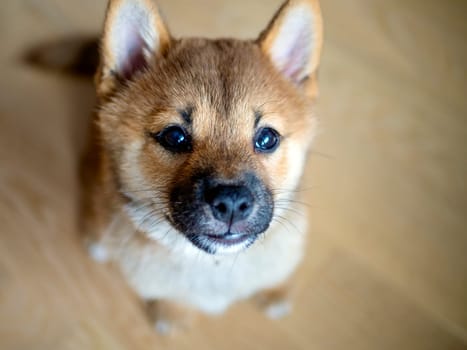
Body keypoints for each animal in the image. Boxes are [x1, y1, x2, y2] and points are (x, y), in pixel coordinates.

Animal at [81, 0, 322, 334]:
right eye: (174, 136)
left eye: (267, 138)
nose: (232, 203)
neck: (214, 265)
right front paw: (172, 312)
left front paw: (276, 291)